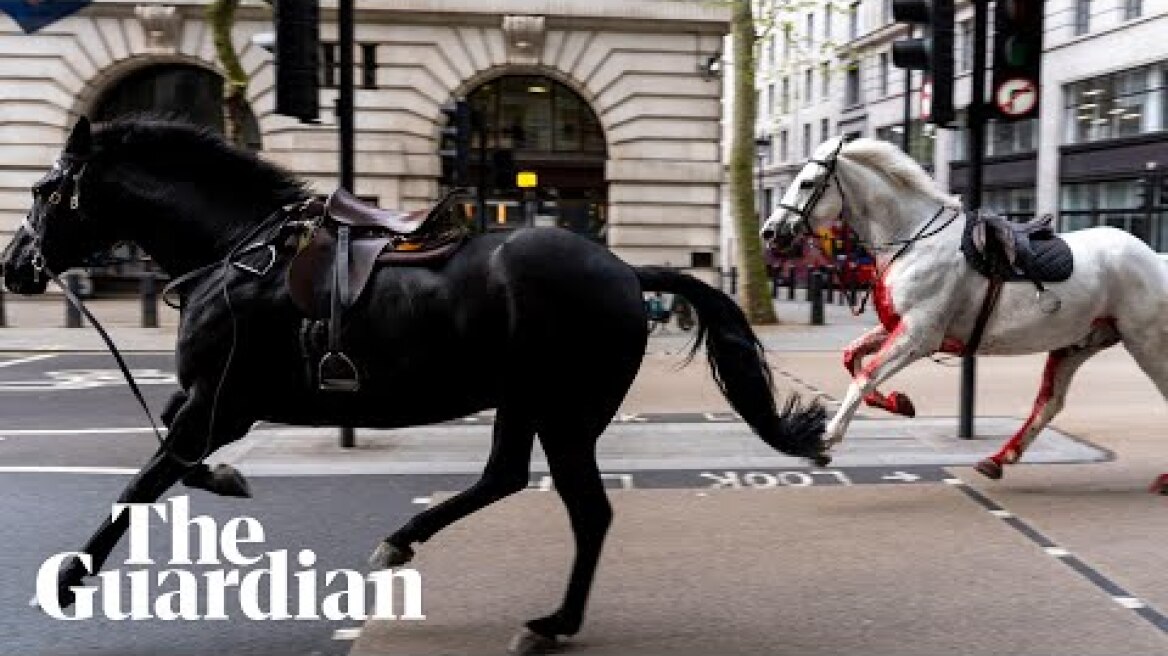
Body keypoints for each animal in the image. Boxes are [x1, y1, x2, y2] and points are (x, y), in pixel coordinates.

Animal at [2, 117, 828, 652]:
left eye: (44, 191)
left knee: (587, 511)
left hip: (564, 411)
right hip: (526, 402)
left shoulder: (222, 402)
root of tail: (627, 271)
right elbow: (169, 457)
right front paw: (226, 479)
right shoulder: (207, 401)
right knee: (505, 476)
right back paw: (407, 542)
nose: (15, 267)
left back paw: (552, 623)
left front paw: (69, 578)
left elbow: (144, 481)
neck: (237, 253)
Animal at [761, 135, 1168, 492]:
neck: (914, 239)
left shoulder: (919, 334)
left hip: (1146, 342)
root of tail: (1156, 257)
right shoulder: (900, 326)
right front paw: (897, 403)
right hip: (1078, 343)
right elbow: (852, 358)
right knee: (1049, 403)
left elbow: (866, 376)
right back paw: (999, 459)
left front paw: (825, 439)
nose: (769, 232)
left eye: (807, 182)